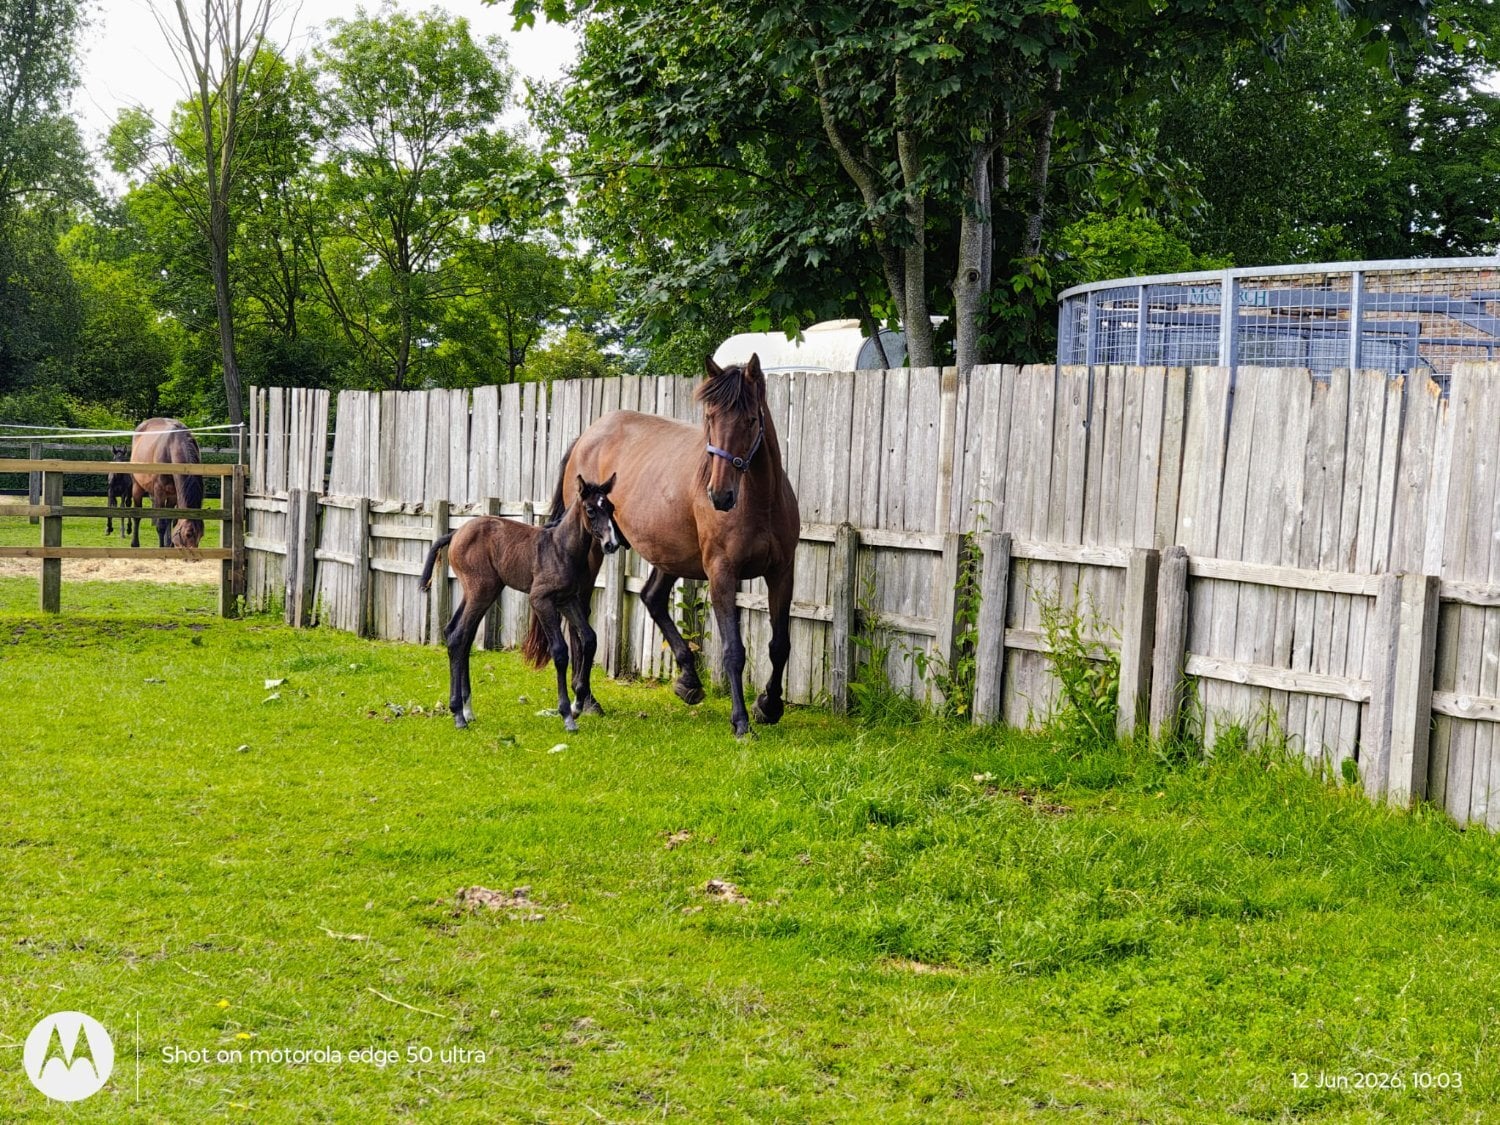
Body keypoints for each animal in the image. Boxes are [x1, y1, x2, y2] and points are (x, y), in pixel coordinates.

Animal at [129, 418, 205, 549]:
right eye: (188, 534)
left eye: (201, 535)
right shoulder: (160, 491)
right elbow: (161, 525)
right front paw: (162, 547)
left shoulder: (174, 495)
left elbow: (171, 519)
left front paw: (169, 545)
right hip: (137, 487)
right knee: (137, 515)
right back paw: (135, 543)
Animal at [420, 475, 622, 732]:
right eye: (590, 510)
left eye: (611, 507)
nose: (611, 544)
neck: (561, 549)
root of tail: (454, 534)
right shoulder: (540, 600)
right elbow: (560, 651)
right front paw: (567, 715)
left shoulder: (567, 600)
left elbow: (589, 639)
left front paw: (578, 705)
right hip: (481, 591)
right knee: (457, 637)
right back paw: (458, 714)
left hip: (482, 592)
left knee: (459, 635)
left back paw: (468, 710)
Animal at [548, 354, 800, 738]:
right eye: (710, 418)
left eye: (751, 420)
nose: (719, 495)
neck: (761, 502)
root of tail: (585, 438)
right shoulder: (722, 573)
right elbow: (733, 650)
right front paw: (741, 721)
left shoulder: (782, 573)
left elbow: (779, 646)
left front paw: (768, 706)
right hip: (591, 550)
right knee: (582, 615)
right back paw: (585, 697)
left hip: (669, 556)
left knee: (651, 598)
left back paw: (687, 680)